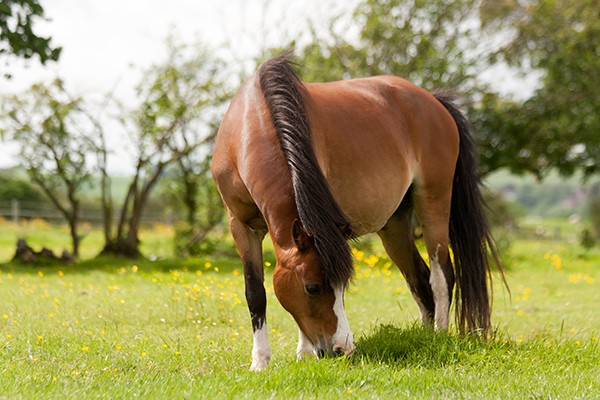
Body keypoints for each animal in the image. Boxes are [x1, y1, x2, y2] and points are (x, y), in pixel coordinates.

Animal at [211, 54, 502, 372]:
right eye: (312, 288)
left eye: (342, 288)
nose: (343, 350)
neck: (249, 124)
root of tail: (434, 102)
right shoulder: (241, 226)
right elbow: (255, 293)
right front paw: (261, 361)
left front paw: (301, 353)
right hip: (394, 225)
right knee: (419, 278)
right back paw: (424, 337)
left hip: (434, 202)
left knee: (441, 276)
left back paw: (439, 336)